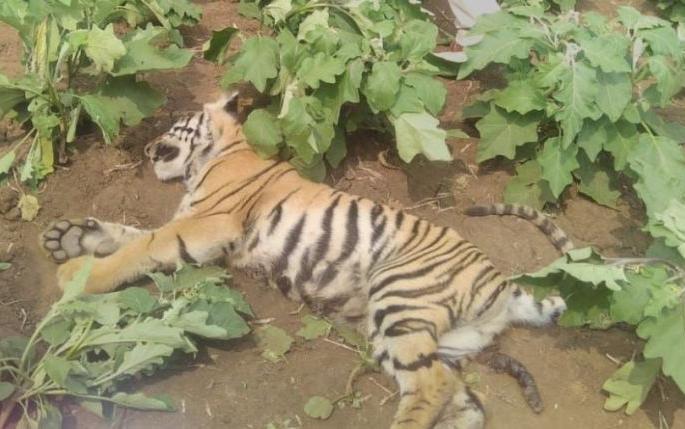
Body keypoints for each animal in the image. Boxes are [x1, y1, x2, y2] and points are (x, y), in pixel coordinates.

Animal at [41, 92, 572, 429]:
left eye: (173, 127)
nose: (149, 147)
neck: (220, 153)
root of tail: (504, 283)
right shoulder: (191, 222)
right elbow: (129, 235)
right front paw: (68, 238)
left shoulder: (207, 223)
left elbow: (140, 247)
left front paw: (72, 274)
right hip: (418, 337)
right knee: (460, 397)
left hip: (400, 299)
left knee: (430, 387)